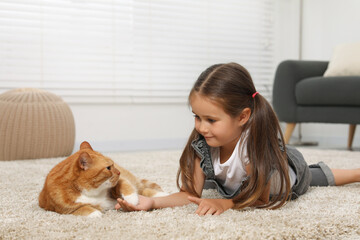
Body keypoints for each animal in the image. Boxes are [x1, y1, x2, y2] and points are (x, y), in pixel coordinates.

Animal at [38, 141, 167, 218]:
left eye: (113, 165)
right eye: (108, 168)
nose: (118, 172)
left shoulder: (118, 182)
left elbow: (126, 186)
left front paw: (132, 199)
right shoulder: (64, 210)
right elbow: (83, 209)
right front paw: (96, 213)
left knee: (143, 189)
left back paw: (162, 194)